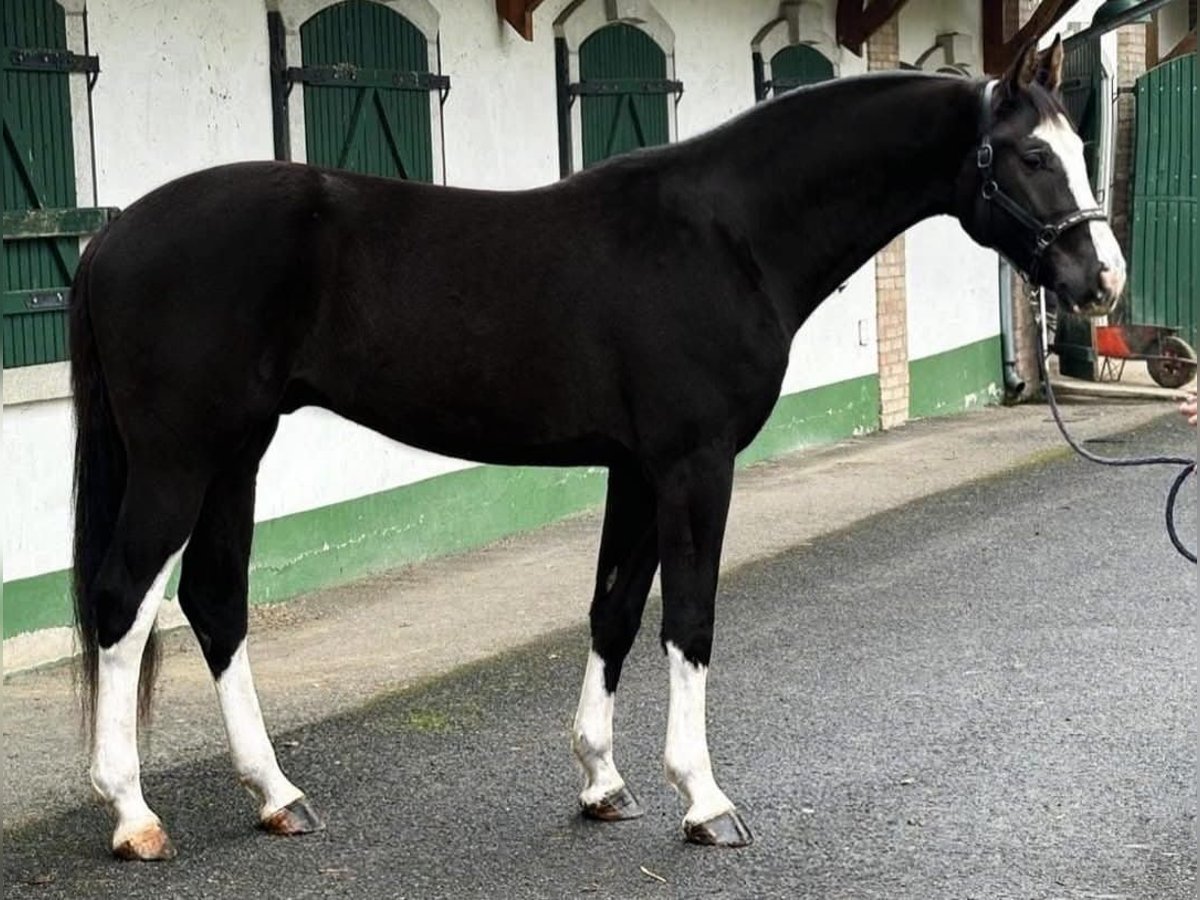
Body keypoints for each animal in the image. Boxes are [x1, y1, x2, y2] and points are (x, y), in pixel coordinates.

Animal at [72, 38, 1123, 864]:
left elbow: (614, 611)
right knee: (124, 603)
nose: (1102, 279)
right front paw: (705, 802)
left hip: (237, 451)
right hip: (179, 458)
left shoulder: (637, 467)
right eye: (1034, 153)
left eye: (1079, 147)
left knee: (214, 602)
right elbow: (689, 621)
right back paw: (133, 816)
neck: (729, 235)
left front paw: (602, 783)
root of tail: (113, 238)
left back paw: (277, 796)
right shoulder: (695, 463)